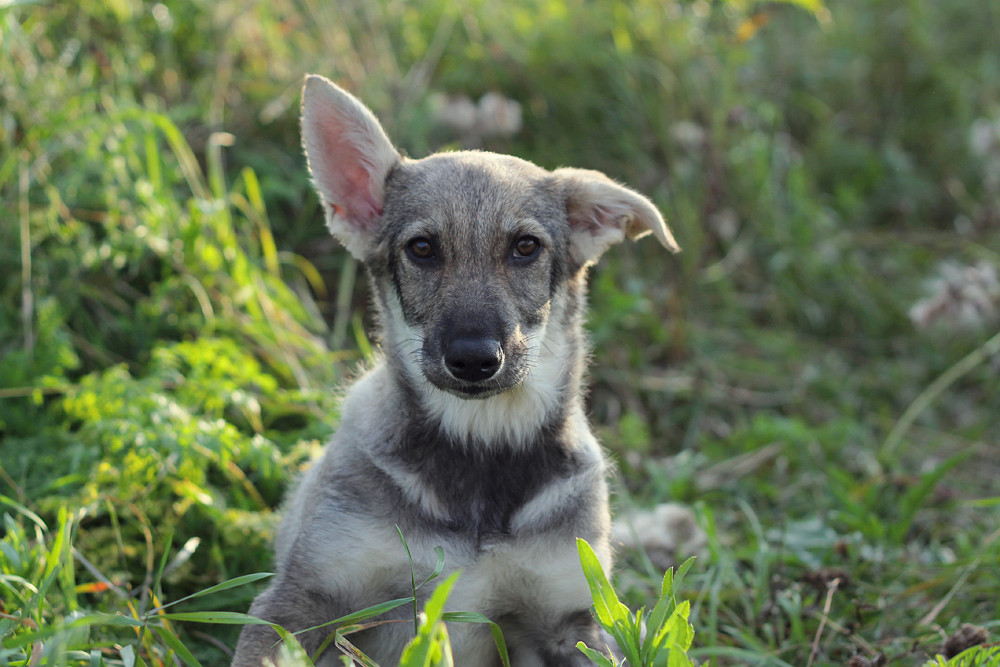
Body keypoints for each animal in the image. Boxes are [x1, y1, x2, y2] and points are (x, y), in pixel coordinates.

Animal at [232, 75, 679, 667]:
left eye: (525, 247)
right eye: (422, 248)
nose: (473, 360)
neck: (480, 443)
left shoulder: (573, 622)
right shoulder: (300, 601)